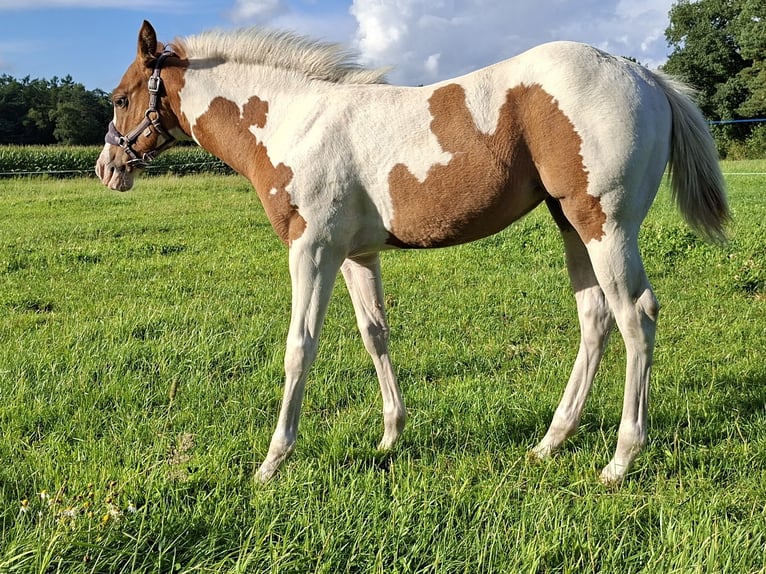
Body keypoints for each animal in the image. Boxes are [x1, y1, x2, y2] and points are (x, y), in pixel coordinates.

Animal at [96, 20, 728, 484]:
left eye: (122, 98)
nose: (107, 168)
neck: (294, 122)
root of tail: (640, 71)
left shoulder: (312, 249)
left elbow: (300, 347)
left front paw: (272, 462)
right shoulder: (356, 255)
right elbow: (375, 334)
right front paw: (390, 436)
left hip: (606, 226)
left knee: (635, 316)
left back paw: (620, 460)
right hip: (572, 225)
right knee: (595, 319)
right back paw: (550, 442)